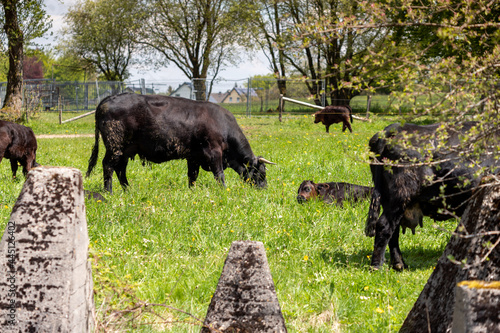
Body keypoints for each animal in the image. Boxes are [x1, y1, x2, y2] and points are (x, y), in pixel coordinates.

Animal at [85, 92, 274, 192]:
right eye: (261, 173)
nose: (264, 189)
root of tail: (109, 98)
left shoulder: (194, 157)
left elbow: (192, 176)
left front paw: (192, 191)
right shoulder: (214, 152)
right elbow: (219, 174)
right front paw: (223, 191)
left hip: (126, 150)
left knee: (120, 169)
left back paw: (127, 189)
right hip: (115, 146)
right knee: (108, 166)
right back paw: (108, 191)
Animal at [366, 121, 498, 270]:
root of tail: (395, 127)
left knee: (393, 231)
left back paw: (399, 264)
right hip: (399, 197)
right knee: (384, 226)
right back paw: (377, 266)